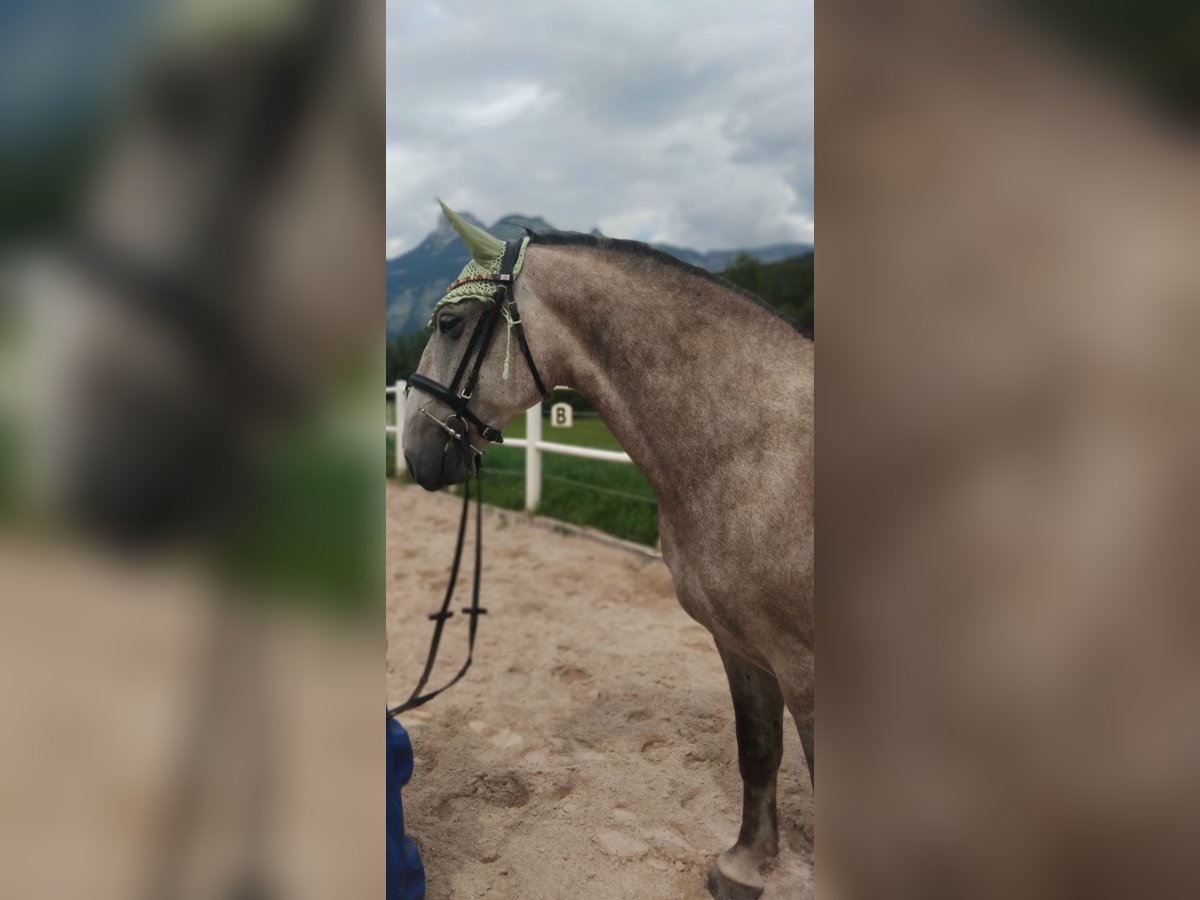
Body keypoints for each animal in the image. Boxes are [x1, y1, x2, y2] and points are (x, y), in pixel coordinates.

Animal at [405, 204, 816, 900]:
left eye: (450, 323)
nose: (412, 451)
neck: (754, 451)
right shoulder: (741, 645)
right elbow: (758, 748)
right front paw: (743, 866)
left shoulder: (806, 666)